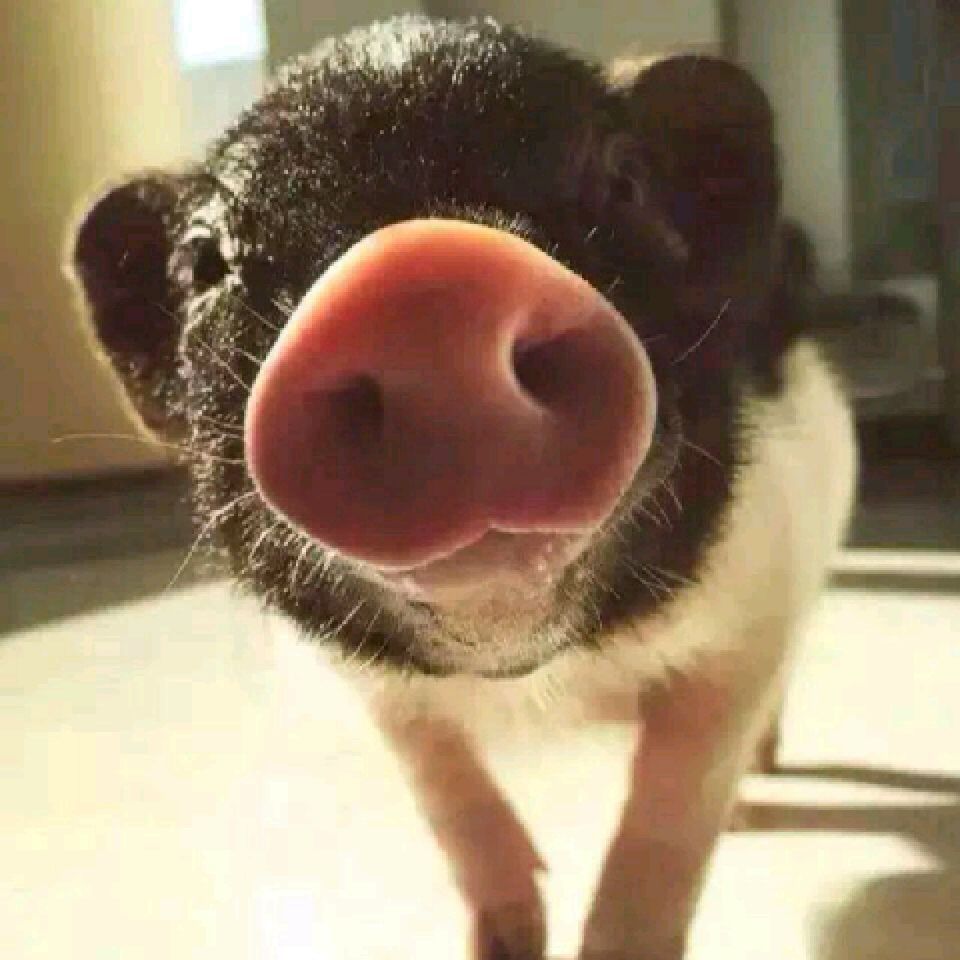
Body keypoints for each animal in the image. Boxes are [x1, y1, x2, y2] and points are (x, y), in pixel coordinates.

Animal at [69, 15, 856, 960]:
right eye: (203, 261)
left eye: (623, 178)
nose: (418, 274)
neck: (540, 683)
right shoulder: (375, 692)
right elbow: (446, 794)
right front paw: (505, 941)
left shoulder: (757, 604)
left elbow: (669, 814)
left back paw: (756, 794)